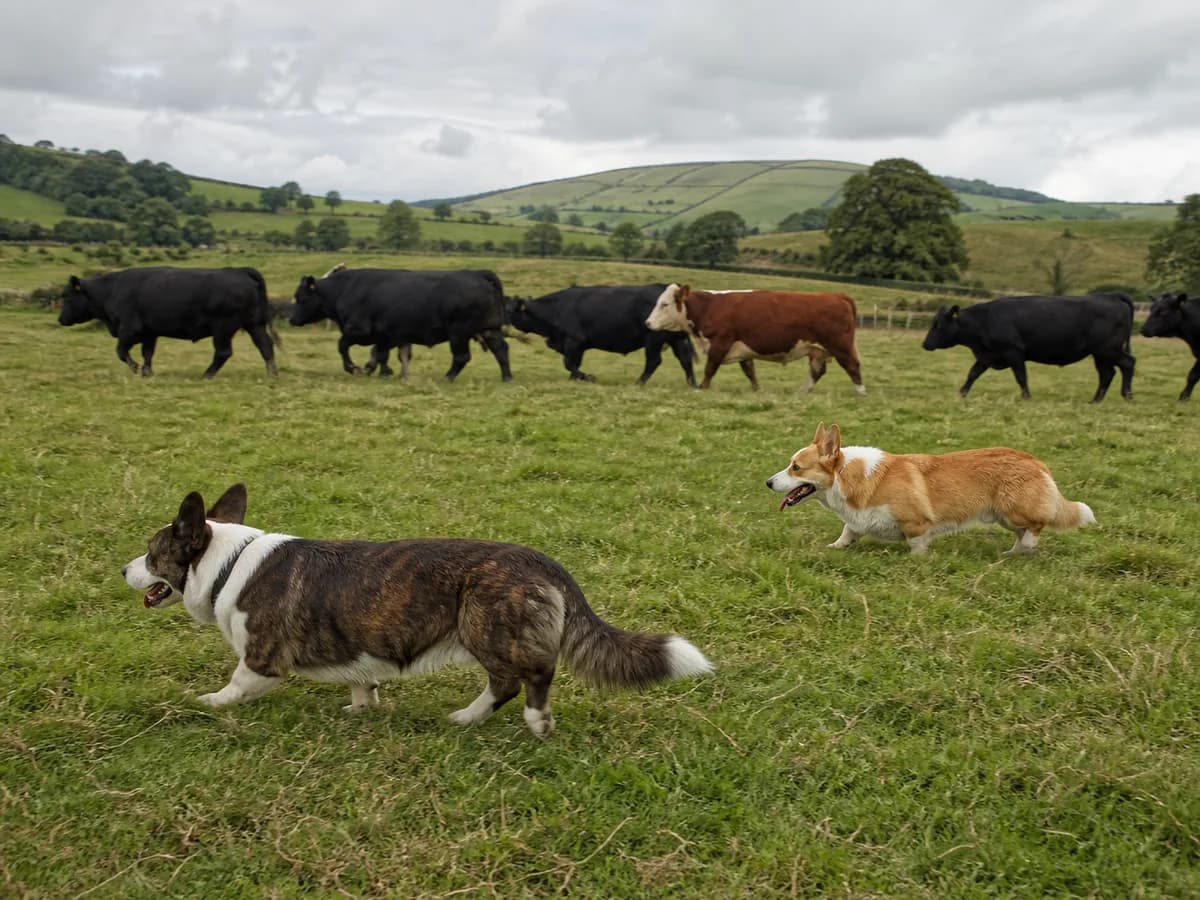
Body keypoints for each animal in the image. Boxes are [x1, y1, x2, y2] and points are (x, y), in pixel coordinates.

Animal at [58, 266, 278, 378]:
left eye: (66, 295)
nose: (60, 319)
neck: (112, 289)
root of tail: (238, 271)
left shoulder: (129, 329)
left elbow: (121, 352)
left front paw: (136, 369)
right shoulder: (149, 332)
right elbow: (147, 353)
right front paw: (147, 372)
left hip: (223, 329)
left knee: (223, 353)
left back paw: (206, 375)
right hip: (254, 325)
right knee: (266, 347)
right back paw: (272, 374)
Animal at [289, 267, 511, 382]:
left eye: (301, 297)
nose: (291, 319)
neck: (344, 290)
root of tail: (477, 274)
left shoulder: (358, 331)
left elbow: (342, 345)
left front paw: (354, 368)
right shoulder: (385, 335)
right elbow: (381, 354)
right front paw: (382, 371)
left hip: (459, 332)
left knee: (461, 357)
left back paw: (447, 377)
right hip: (489, 329)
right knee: (501, 350)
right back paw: (506, 377)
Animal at [506, 284, 696, 386]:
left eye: (509, 308)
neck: (556, 309)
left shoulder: (574, 341)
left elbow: (569, 363)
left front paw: (589, 377)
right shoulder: (577, 346)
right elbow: (573, 364)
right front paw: (574, 380)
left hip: (654, 339)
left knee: (654, 362)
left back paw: (638, 383)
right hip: (677, 339)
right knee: (685, 360)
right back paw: (693, 385)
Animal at [644, 284, 864, 393]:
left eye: (664, 304)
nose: (648, 323)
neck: (709, 307)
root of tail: (837, 296)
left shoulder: (721, 342)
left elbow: (710, 369)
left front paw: (701, 389)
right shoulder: (743, 349)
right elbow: (750, 372)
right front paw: (758, 391)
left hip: (840, 345)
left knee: (853, 366)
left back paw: (860, 392)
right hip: (816, 350)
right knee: (817, 371)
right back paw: (801, 393)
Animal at [921, 293, 1135, 402]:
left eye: (938, 325)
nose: (925, 344)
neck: (985, 320)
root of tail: (1112, 297)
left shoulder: (1014, 353)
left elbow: (1021, 377)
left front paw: (1026, 397)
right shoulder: (986, 356)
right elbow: (972, 374)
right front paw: (961, 393)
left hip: (1107, 350)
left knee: (1128, 364)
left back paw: (1127, 395)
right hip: (1100, 354)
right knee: (1107, 373)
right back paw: (1096, 399)